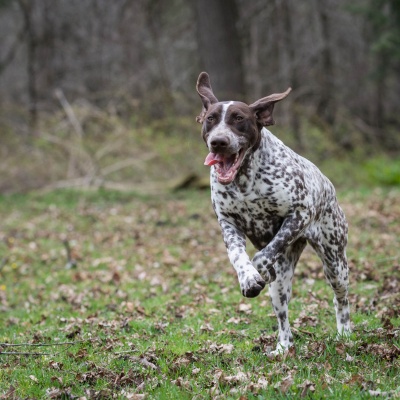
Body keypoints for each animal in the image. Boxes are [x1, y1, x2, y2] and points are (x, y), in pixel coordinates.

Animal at [196, 71, 350, 354]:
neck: (244, 179)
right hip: (281, 286)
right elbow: (238, 256)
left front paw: (258, 270)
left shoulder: (299, 215)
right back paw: (283, 347)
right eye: (211, 119)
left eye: (239, 119)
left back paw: (345, 334)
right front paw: (248, 277)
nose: (218, 142)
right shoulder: (229, 224)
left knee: (340, 300)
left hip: (335, 263)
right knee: (283, 317)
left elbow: (264, 253)